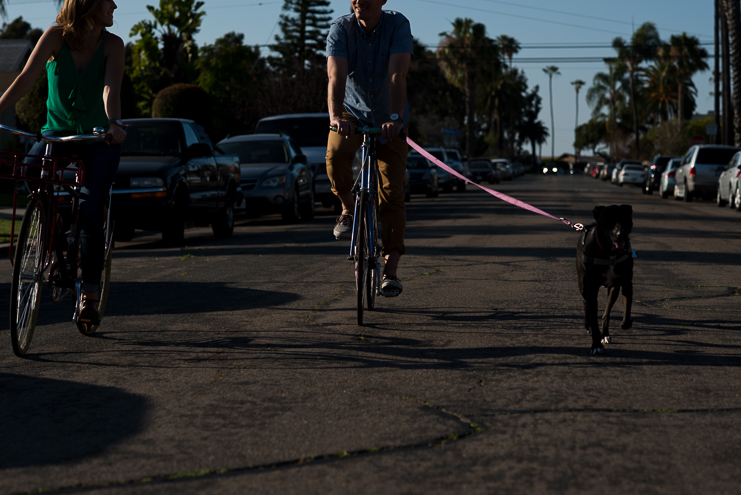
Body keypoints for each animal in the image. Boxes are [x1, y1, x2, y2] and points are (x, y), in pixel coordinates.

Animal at [576, 205, 632, 356]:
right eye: (609, 219)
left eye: (625, 218)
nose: (621, 233)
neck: (610, 253)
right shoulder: (591, 289)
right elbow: (593, 318)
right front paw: (595, 345)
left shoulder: (626, 283)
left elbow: (627, 307)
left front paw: (625, 323)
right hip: (583, 285)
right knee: (585, 302)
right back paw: (587, 325)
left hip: (613, 290)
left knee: (607, 311)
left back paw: (605, 334)